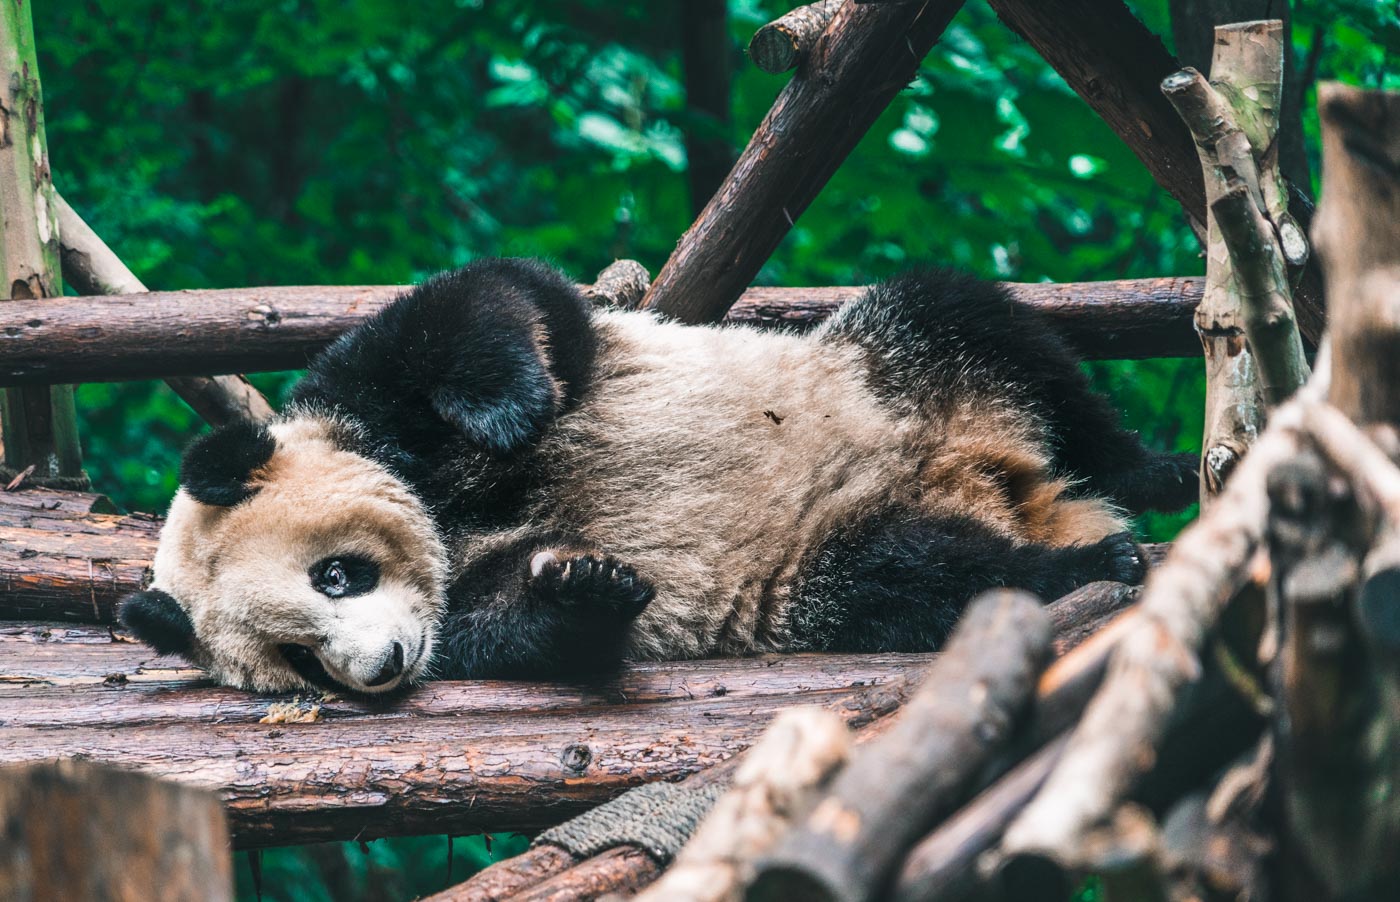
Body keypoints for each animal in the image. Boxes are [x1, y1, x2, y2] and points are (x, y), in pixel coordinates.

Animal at [114, 257, 1198, 694]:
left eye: (335, 575)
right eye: (301, 659)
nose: (379, 667)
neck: (452, 521)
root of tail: (1010, 482)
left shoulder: (364, 402)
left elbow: (500, 309)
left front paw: (511, 410)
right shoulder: (458, 617)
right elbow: (520, 629)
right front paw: (588, 586)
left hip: (897, 362)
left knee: (992, 332)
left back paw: (1158, 476)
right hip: (822, 568)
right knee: (918, 576)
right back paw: (1085, 559)